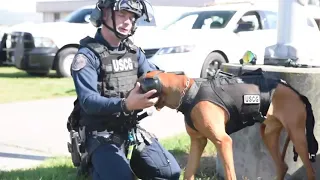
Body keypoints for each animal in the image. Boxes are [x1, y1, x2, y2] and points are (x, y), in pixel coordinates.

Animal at [138, 69, 318, 180]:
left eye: (138, 86)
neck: (189, 92)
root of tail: (297, 93)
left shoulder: (223, 141)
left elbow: (230, 174)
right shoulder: (198, 142)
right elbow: (189, 173)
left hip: (298, 137)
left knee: (310, 171)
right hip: (268, 134)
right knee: (282, 166)